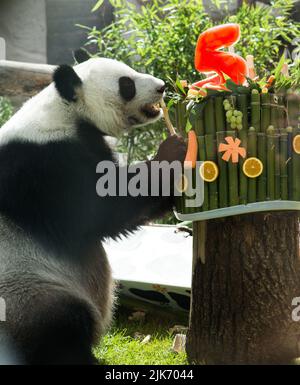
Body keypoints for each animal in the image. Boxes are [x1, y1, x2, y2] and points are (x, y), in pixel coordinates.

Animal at [0, 57, 185, 364]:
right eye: (126, 84)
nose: (161, 87)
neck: (67, 110)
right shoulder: (45, 165)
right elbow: (100, 212)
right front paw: (173, 152)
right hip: (24, 289)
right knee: (58, 324)